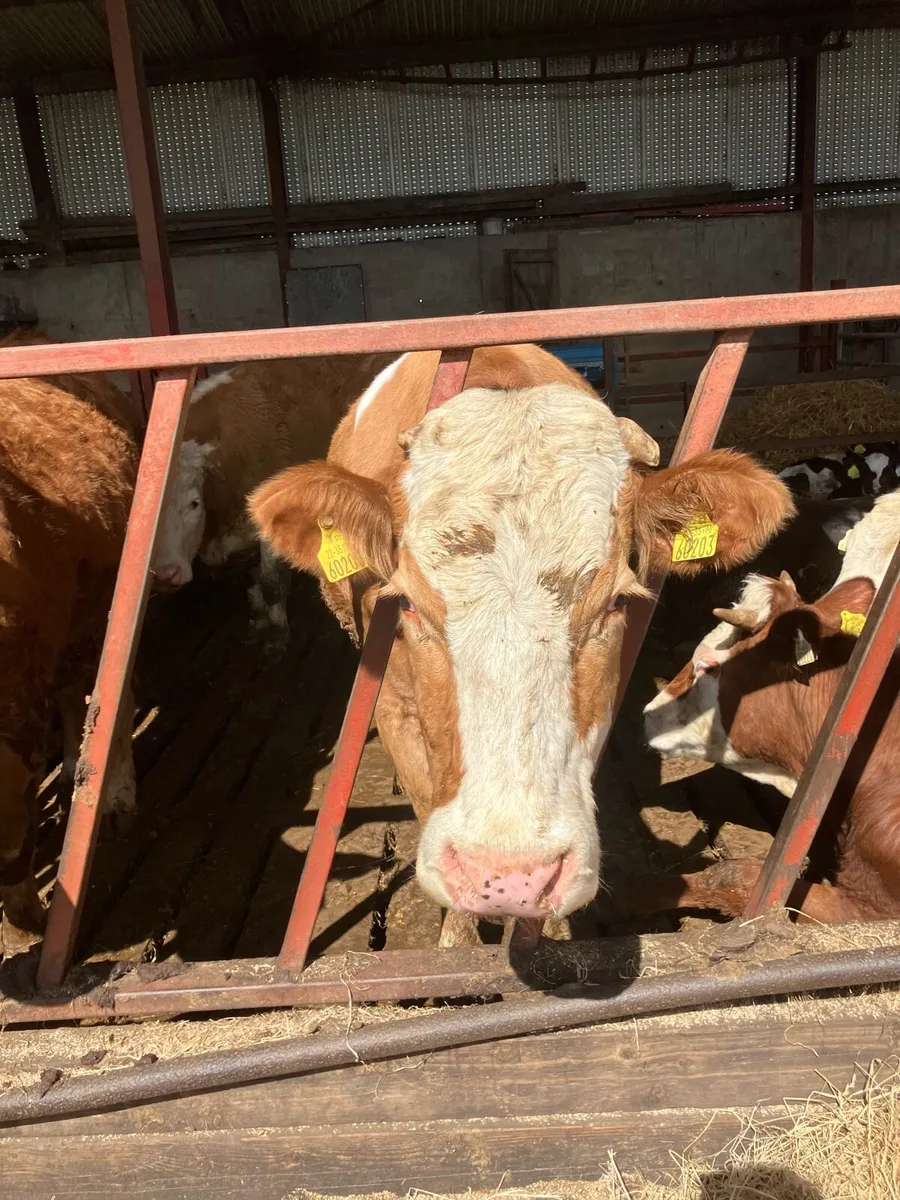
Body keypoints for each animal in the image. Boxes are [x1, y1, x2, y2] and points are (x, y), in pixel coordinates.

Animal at [152, 354, 394, 639]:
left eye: (194, 503)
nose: (165, 573)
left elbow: (271, 581)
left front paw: (277, 632)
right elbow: (250, 576)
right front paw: (258, 617)